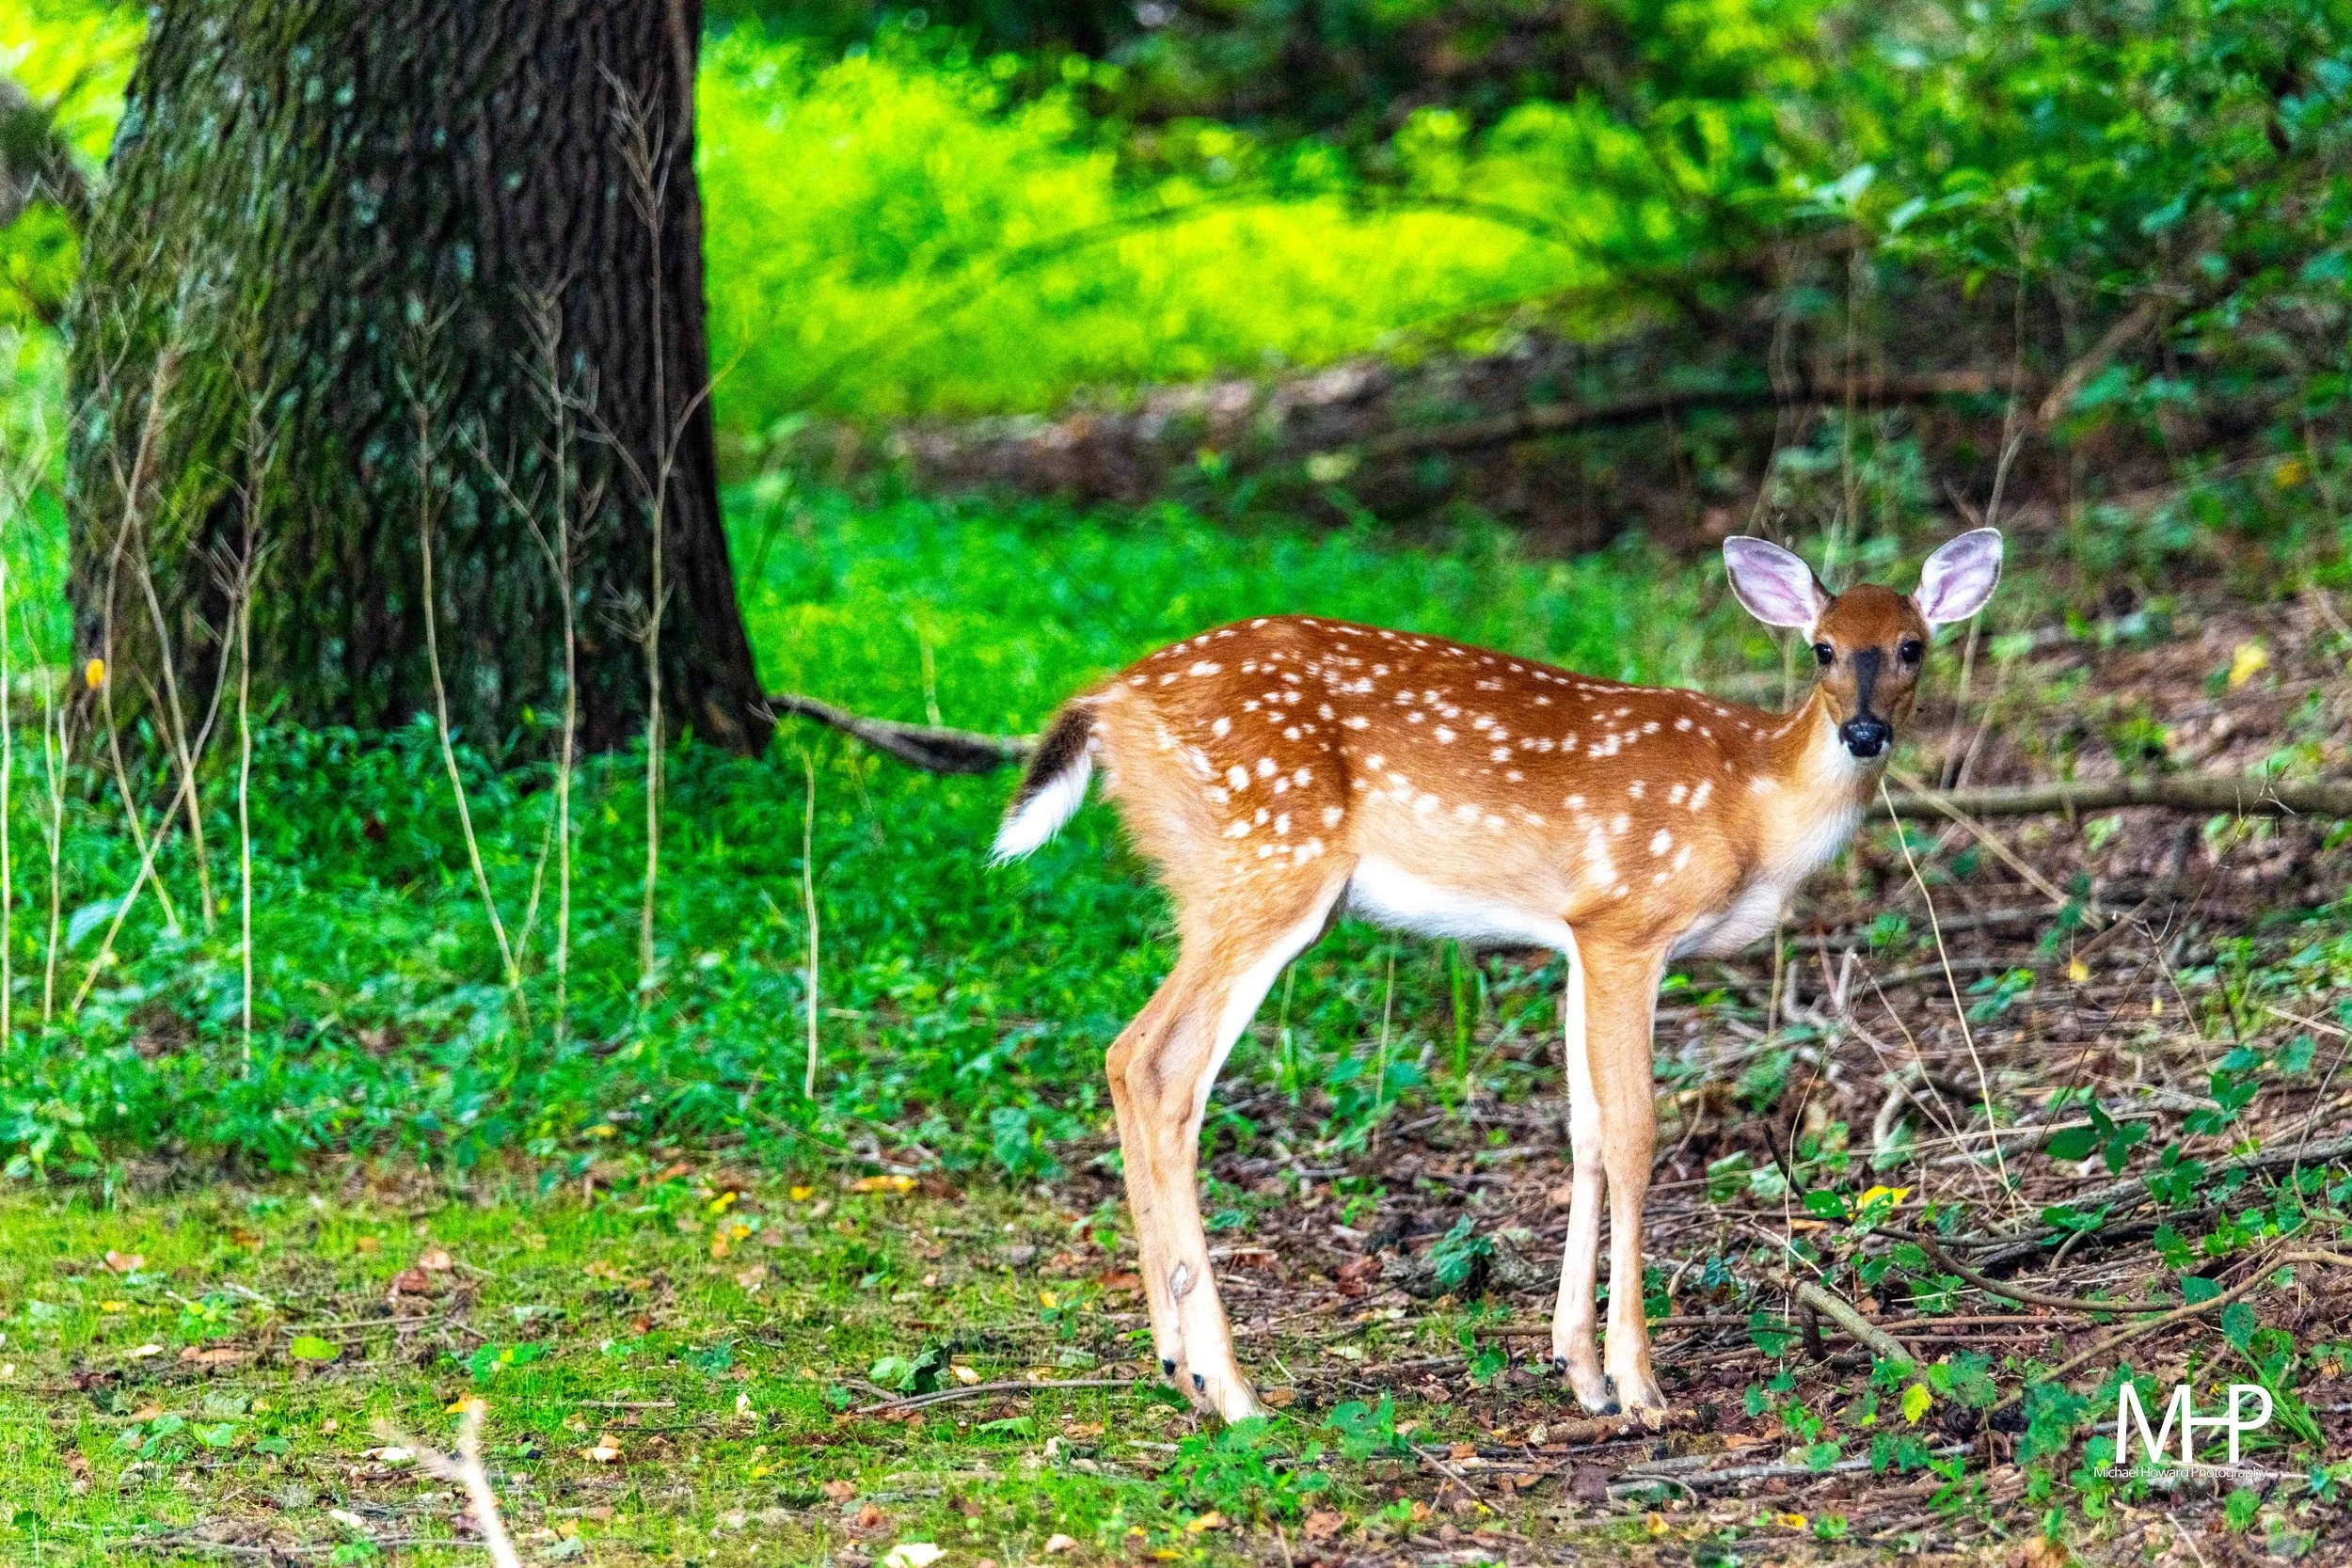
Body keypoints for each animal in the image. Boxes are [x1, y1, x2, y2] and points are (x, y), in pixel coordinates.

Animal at [989, 528, 2003, 1422]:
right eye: (1822, 647)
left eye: (1911, 644)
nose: (1866, 730)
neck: (1754, 806)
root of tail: (1106, 700)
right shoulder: (1629, 921)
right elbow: (1635, 1135)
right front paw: (1640, 1385)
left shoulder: (1575, 938)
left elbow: (1585, 1133)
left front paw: (1580, 1371)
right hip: (1269, 859)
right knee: (1160, 1063)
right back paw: (1233, 1390)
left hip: (1211, 875)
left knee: (1124, 1056)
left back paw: (1177, 1368)